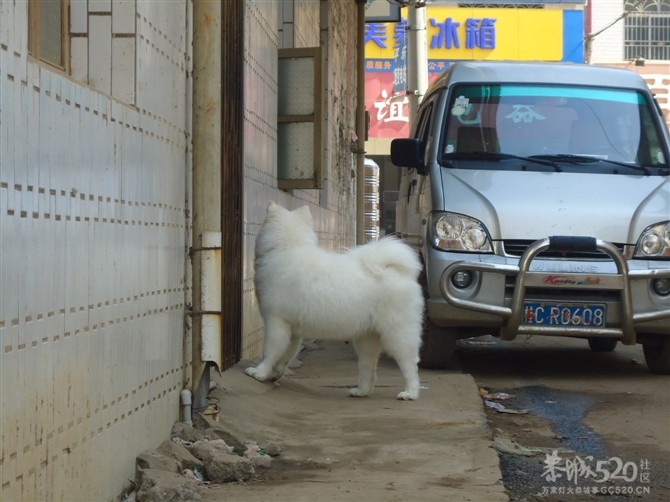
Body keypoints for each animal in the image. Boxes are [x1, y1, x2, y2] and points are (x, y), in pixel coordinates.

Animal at [247, 200, 426, 400]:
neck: (287, 248)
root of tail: (398, 272)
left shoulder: (276, 321)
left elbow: (270, 351)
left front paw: (259, 373)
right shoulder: (293, 330)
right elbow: (285, 355)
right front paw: (275, 373)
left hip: (397, 333)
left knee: (410, 364)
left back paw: (410, 393)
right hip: (367, 338)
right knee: (369, 368)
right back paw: (361, 391)